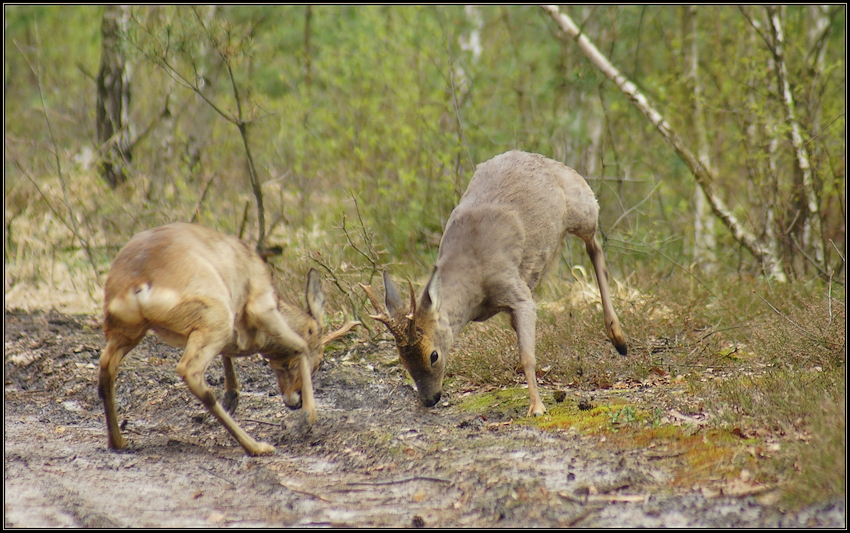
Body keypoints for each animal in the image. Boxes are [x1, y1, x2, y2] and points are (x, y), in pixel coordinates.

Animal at [98, 222, 354, 456]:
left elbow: (229, 355)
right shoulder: (262, 306)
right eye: (320, 362)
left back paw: (118, 442)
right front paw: (307, 419)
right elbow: (300, 345)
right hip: (214, 314)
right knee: (189, 370)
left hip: (126, 329)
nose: (294, 401)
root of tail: (137, 283)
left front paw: (233, 396)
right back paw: (257, 447)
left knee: (106, 367)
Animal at [362, 150, 628, 416]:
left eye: (433, 355)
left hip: (582, 206)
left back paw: (619, 339)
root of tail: (545, 159)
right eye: (402, 359)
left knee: (594, 245)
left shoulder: (516, 291)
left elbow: (526, 356)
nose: (429, 399)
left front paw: (536, 407)